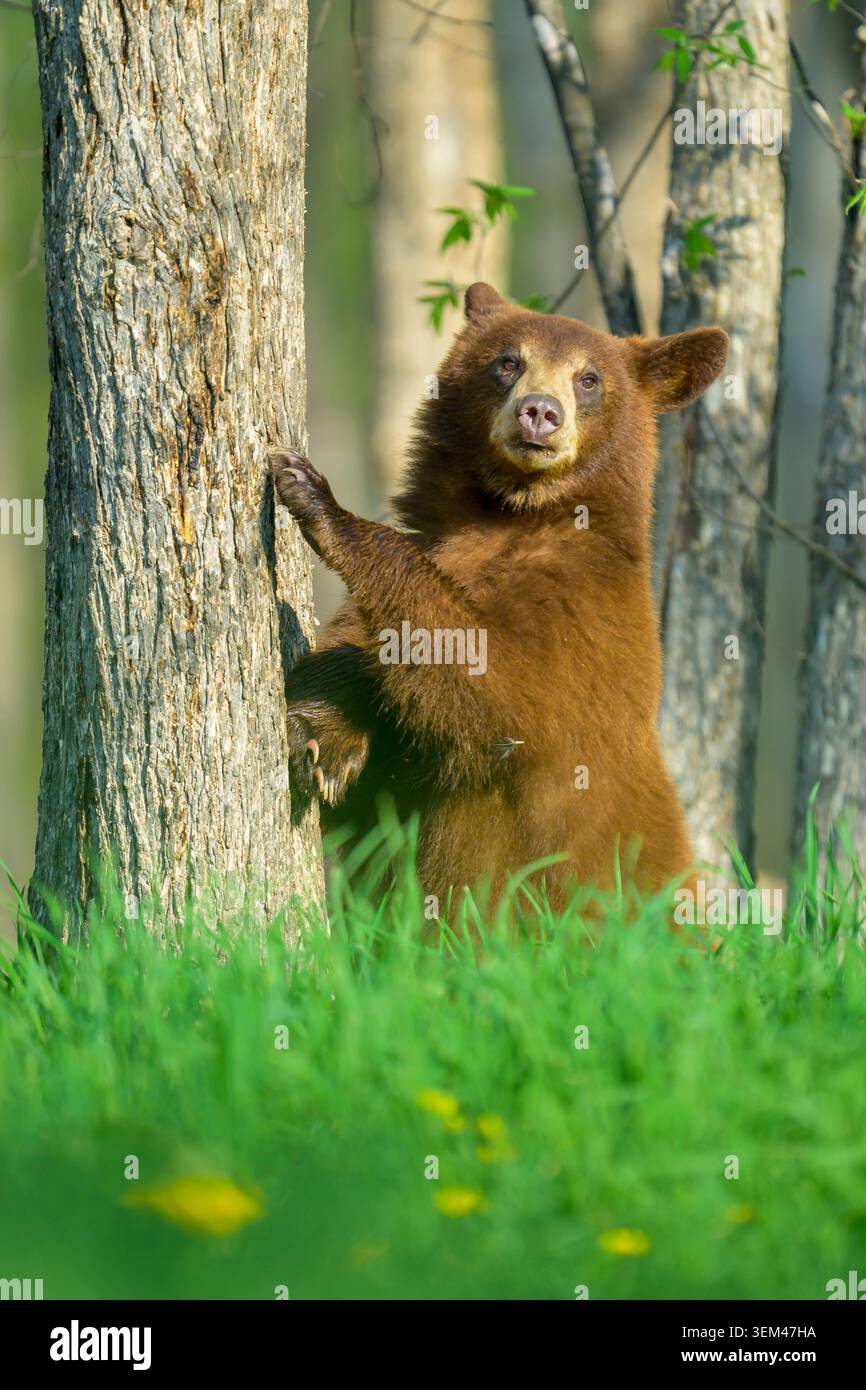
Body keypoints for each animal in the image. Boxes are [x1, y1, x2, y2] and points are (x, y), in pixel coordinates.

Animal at [270, 282, 728, 915]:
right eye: (508, 362)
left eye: (589, 379)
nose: (540, 411)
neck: (513, 514)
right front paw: (323, 738)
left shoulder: (589, 612)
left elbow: (498, 686)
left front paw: (319, 500)